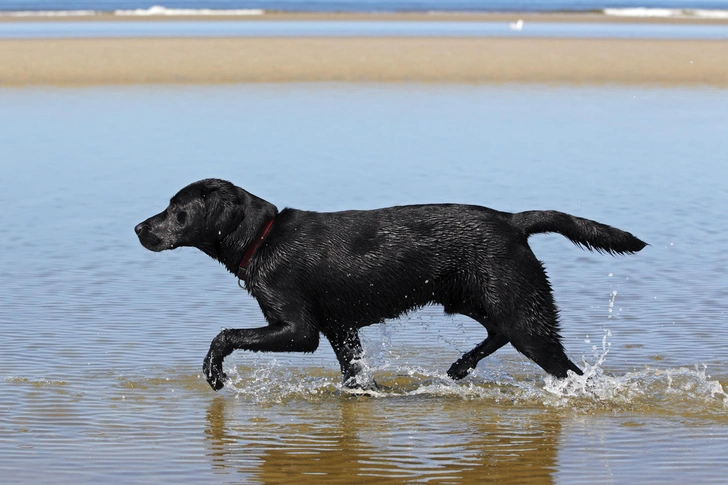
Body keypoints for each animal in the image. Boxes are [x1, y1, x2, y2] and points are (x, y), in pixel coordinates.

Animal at [134, 180, 644, 392]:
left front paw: (214, 373)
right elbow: (355, 373)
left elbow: (224, 335)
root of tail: (512, 220)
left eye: (177, 210)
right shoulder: (340, 329)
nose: (139, 228)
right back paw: (460, 367)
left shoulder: (299, 330)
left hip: (522, 312)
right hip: (477, 298)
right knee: (496, 333)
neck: (264, 237)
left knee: (567, 368)